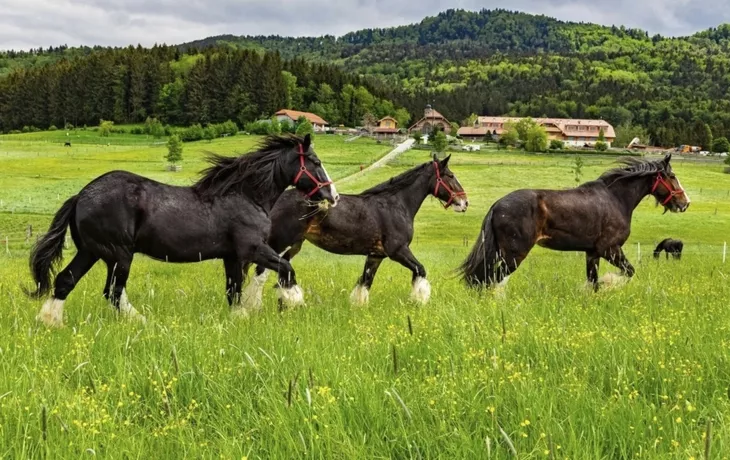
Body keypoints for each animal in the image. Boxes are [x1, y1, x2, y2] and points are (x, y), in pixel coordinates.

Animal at [25, 134, 338, 328]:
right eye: (316, 162)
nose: (333, 196)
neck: (246, 196)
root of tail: (80, 196)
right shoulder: (253, 249)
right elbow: (286, 268)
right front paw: (293, 302)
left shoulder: (232, 257)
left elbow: (234, 290)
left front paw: (240, 317)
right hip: (119, 254)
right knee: (113, 292)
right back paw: (140, 321)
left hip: (92, 251)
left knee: (66, 281)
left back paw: (51, 321)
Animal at [242, 153, 464, 310]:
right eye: (450, 175)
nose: (464, 202)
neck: (396, 204)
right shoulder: (398, 251)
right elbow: (420, 270)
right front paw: (419, 301)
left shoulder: (376, 255)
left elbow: (365, 282)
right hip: (279, 241)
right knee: (262, 272)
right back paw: (256, 305)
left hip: (294, 245)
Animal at [460, 155, 688, 292]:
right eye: (672, 176)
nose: (685, 203)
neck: (616, 199)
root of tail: (497, 205)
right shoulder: (610, 249)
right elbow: (628, 272)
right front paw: (611, 283)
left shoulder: (593, 253)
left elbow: (593, 282)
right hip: (513, 255)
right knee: (490, 280)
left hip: (500, 253)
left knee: (482, 279)